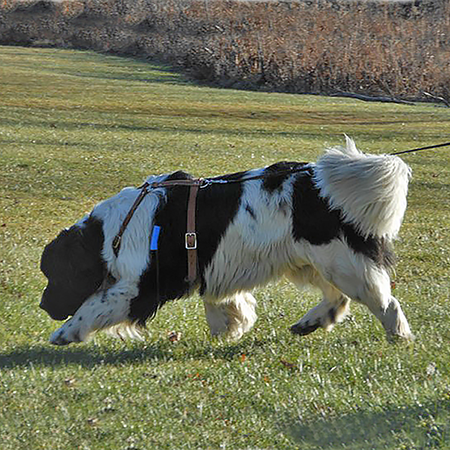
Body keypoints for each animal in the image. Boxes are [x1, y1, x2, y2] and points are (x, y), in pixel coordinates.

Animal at [40, 137, 414, 344]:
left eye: (55, 274)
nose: (43, 306)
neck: (113, 231)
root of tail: (320, 182)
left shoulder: (141, 288)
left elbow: (94, 306)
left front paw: (66, 333)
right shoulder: (214, 271)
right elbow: (224, 304)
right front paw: (232, 327)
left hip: (339, 261)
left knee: (384, 302)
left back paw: (399, 336)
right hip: (313, 260)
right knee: (338, 297)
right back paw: (311, 322)